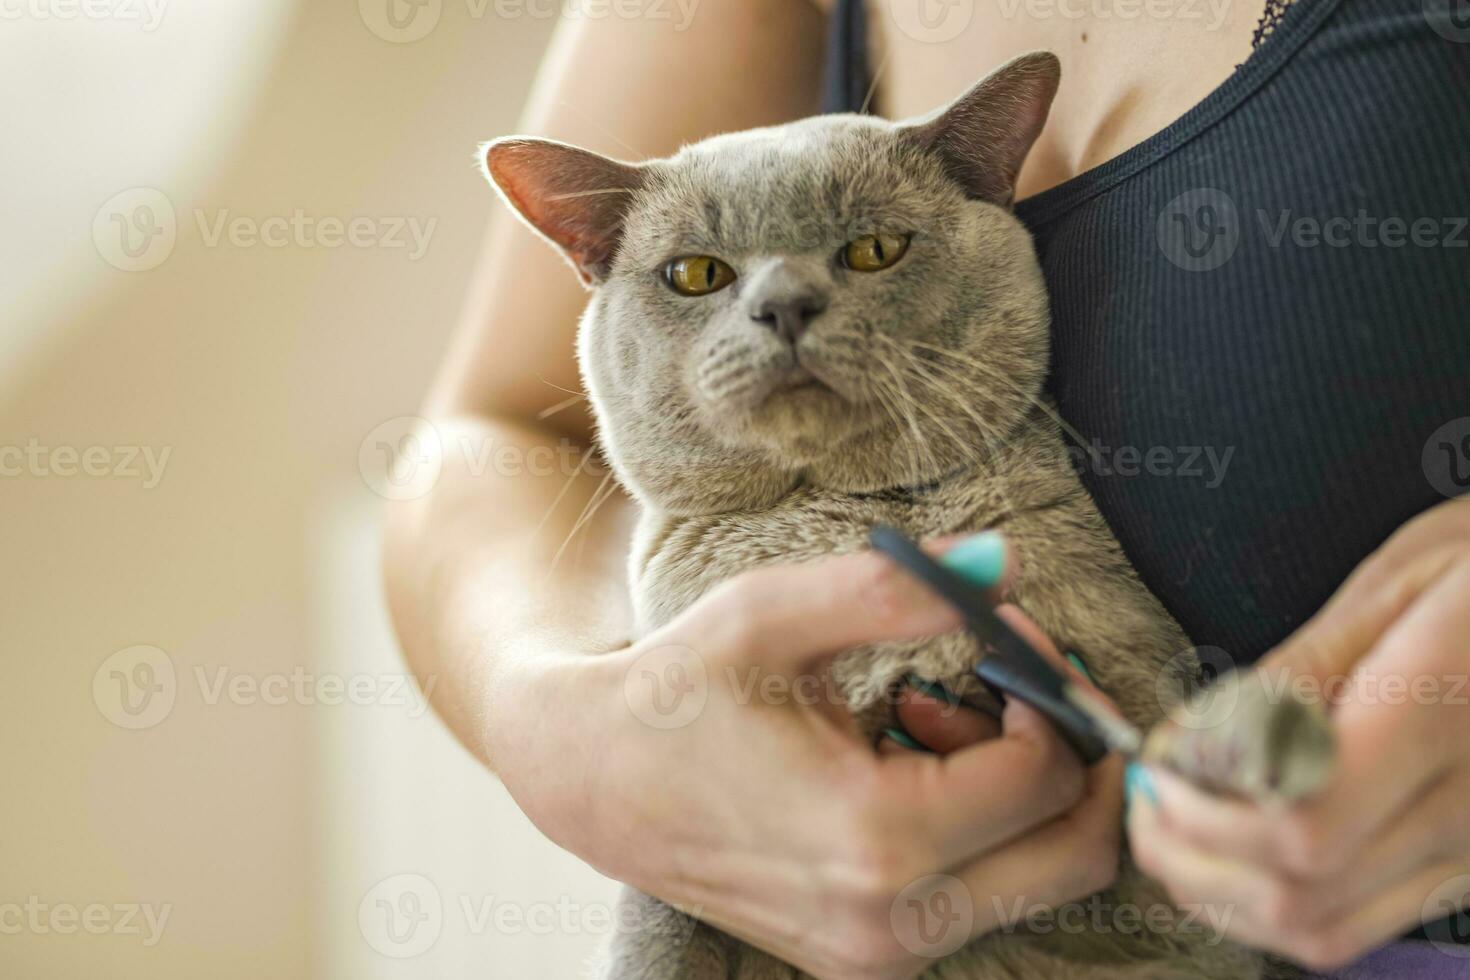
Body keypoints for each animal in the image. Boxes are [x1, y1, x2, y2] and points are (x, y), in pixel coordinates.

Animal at [488, 53, 1281, 980]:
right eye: (697, 273)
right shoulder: (668, 872)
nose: (786, 304)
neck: (846, 521)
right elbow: (656, 943)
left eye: (873, 250)